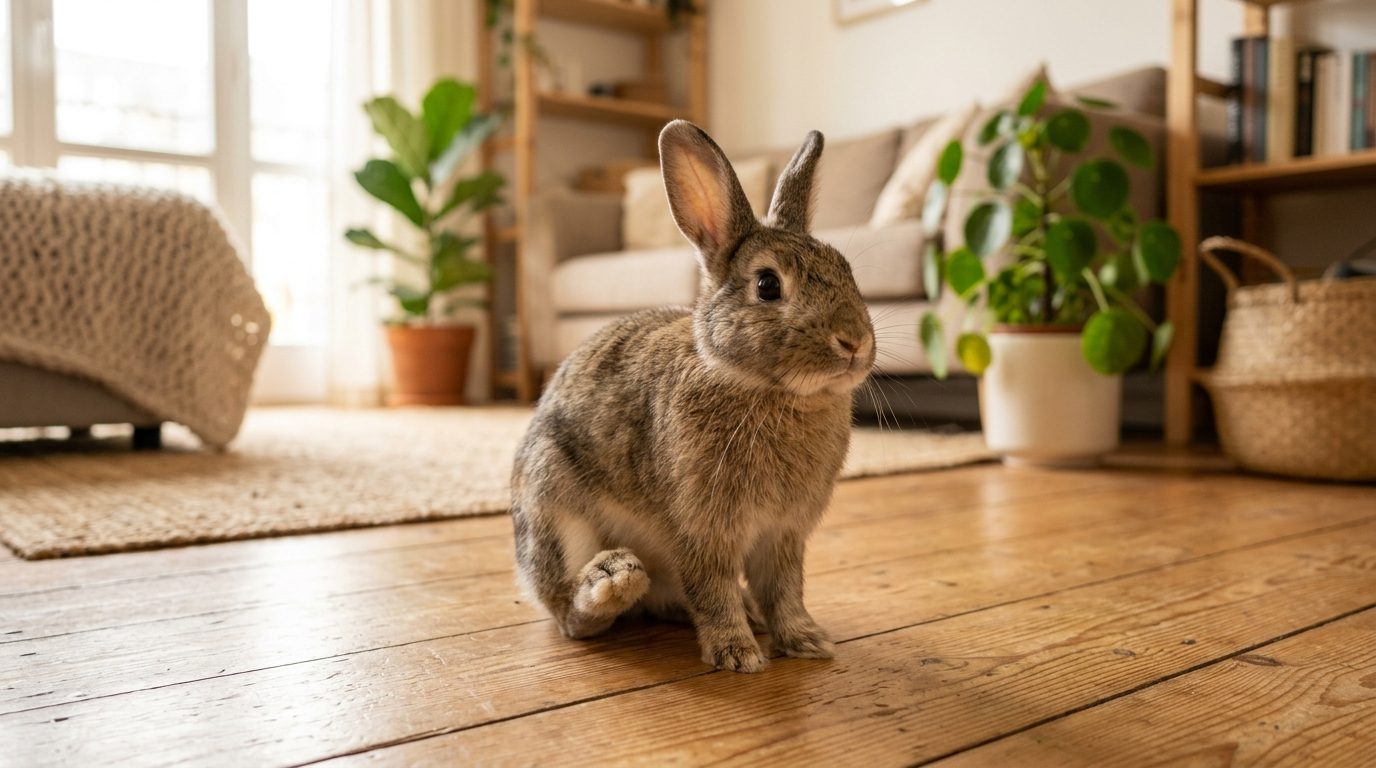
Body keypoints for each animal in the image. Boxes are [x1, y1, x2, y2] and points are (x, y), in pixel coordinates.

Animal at [510, 120, 875, 673]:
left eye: (847, 269)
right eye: (767, 285)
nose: (854, 341)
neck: (763, 388)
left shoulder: (785, 535)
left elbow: (785, 590)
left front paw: (806, 640)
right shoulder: (702, 531)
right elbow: (713, 590)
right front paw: (738, 654)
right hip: (553, 508)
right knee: (569, 615)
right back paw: (611, 582)